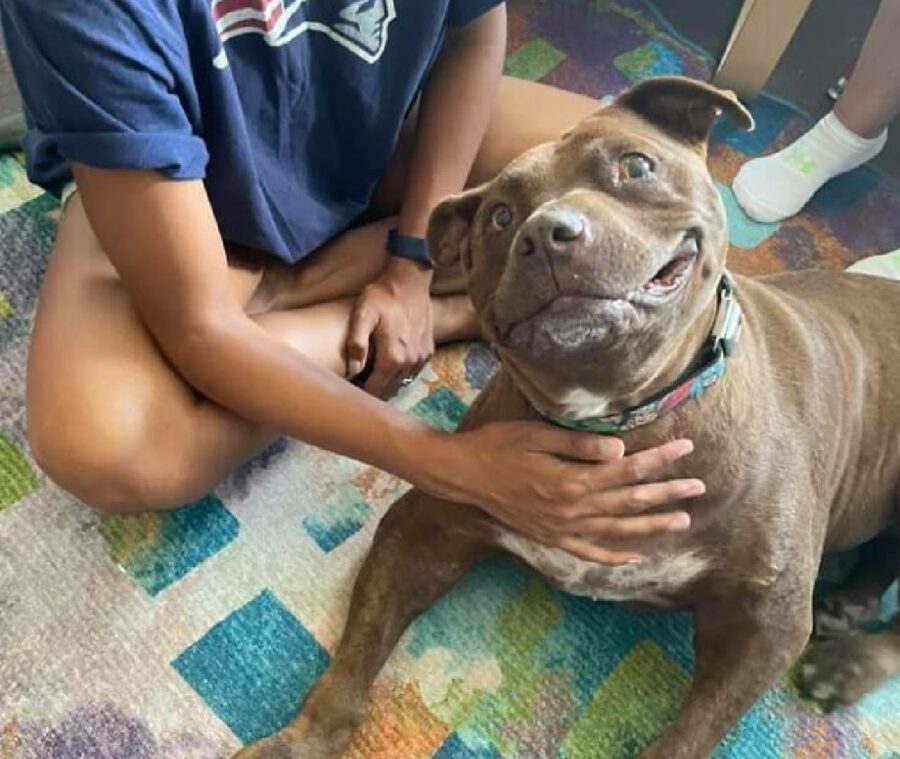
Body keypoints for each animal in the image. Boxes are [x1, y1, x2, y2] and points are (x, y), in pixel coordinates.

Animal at [236, 78, 900, 759]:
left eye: (637, 167)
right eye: (501, 217)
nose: (549, 232)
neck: (622, 419)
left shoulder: (768, 621)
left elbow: (687, 737)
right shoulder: (424, 526)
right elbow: (351, 664)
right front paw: (300, 742)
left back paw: (849, 661)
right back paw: (852, 602)